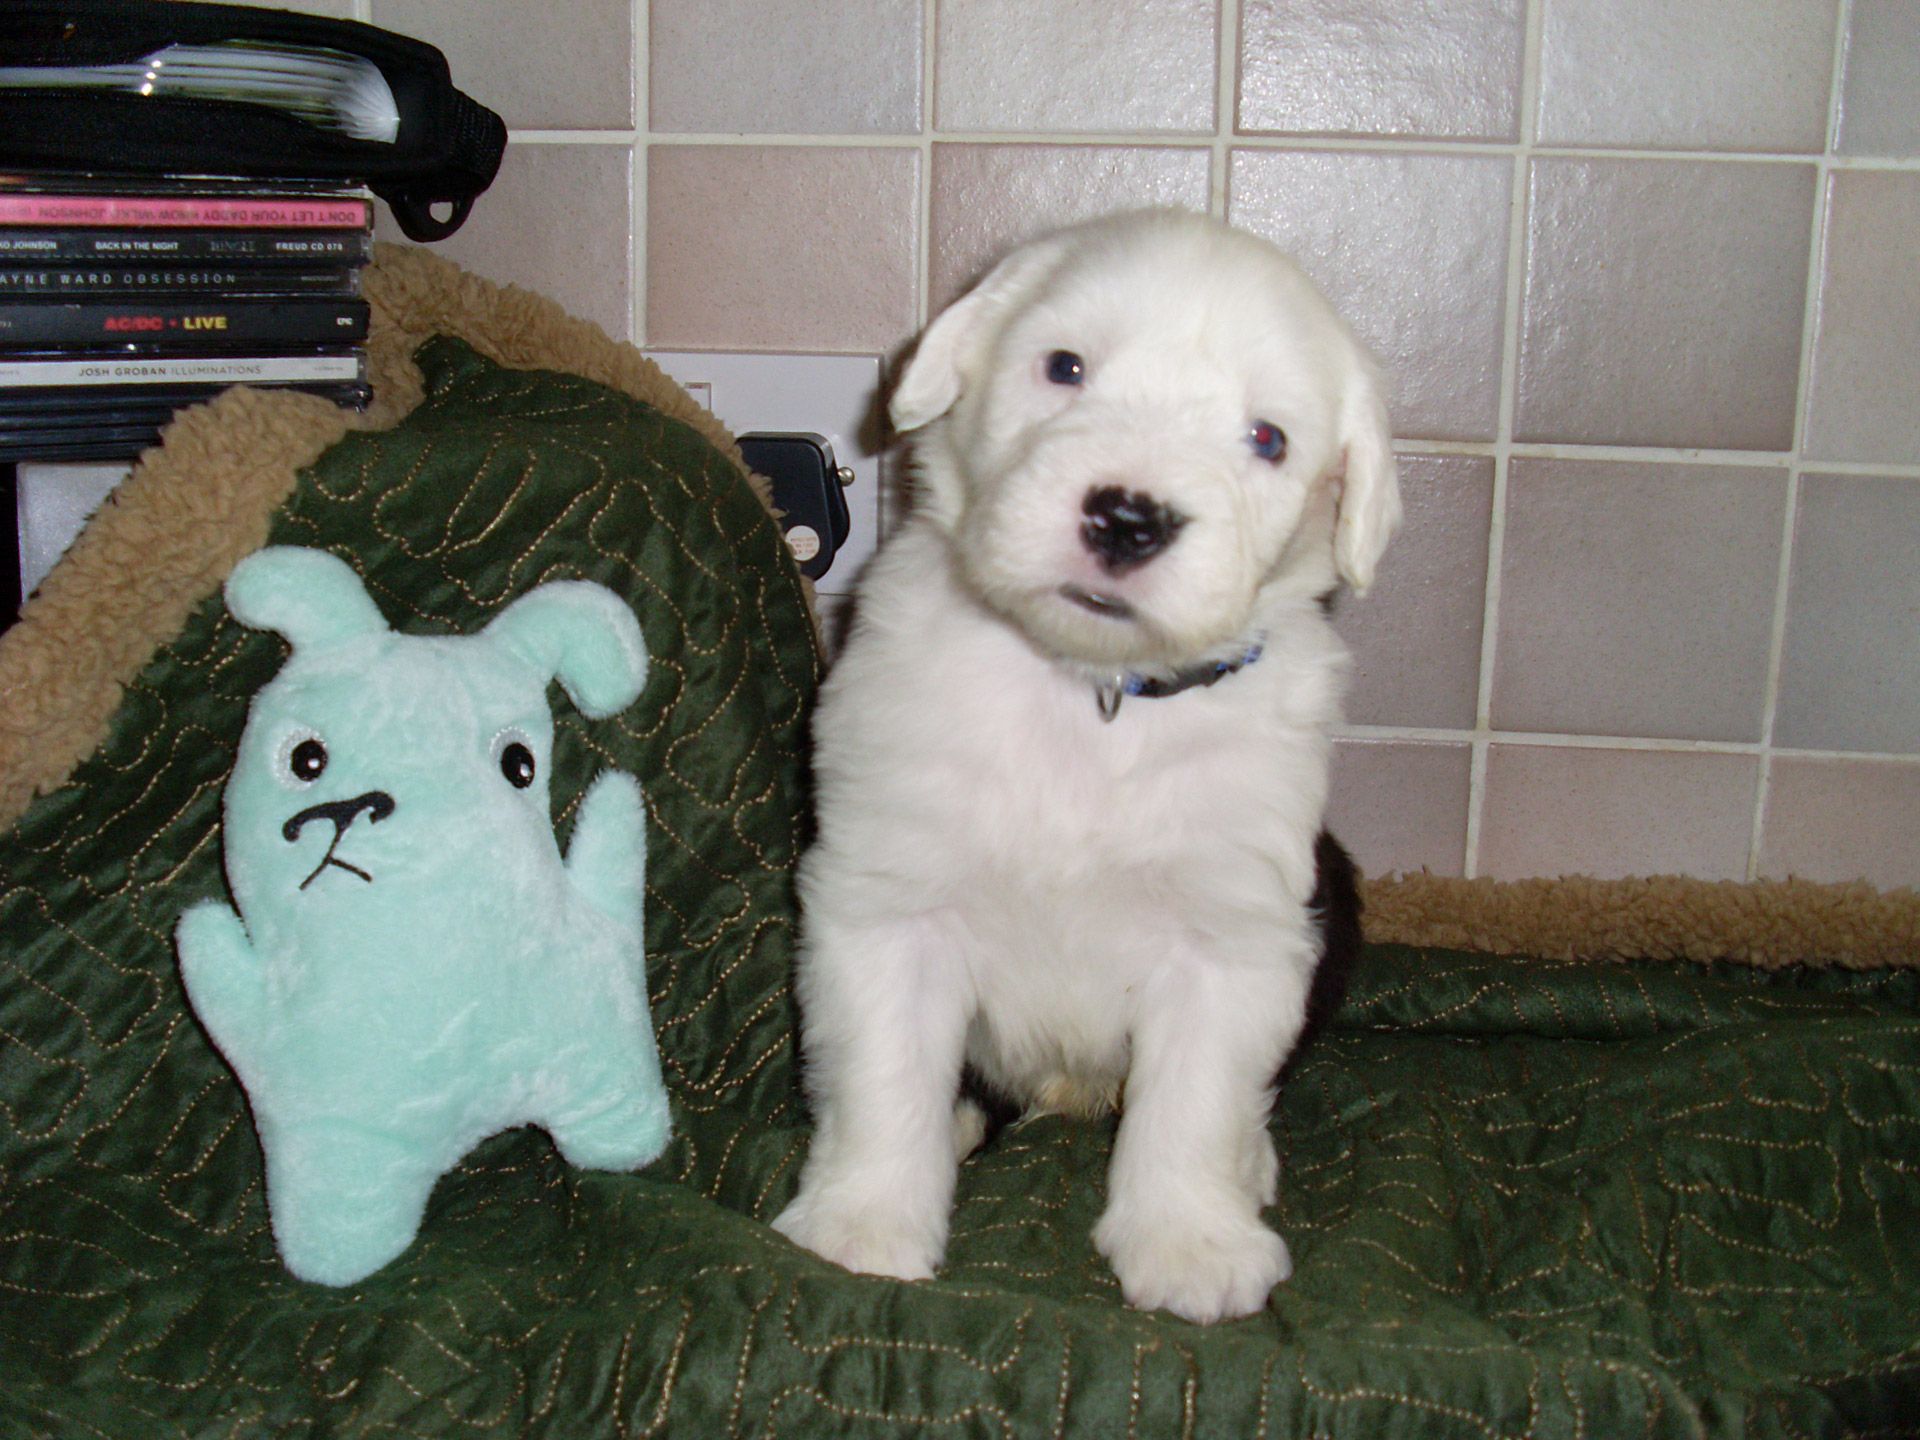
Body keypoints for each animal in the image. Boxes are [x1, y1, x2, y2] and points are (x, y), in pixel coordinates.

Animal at [771, 208, 1405, 1328]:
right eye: (1065, 366)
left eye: (1269, 438)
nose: (1128, 518)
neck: (1090, 696)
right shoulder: (886, 898)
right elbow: (885, 1073)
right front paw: (862, 1226)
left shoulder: (1232, 929)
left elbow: (1196, 1100)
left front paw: (1192, 1246)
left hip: (1335, 900)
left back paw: (1250, 1167)